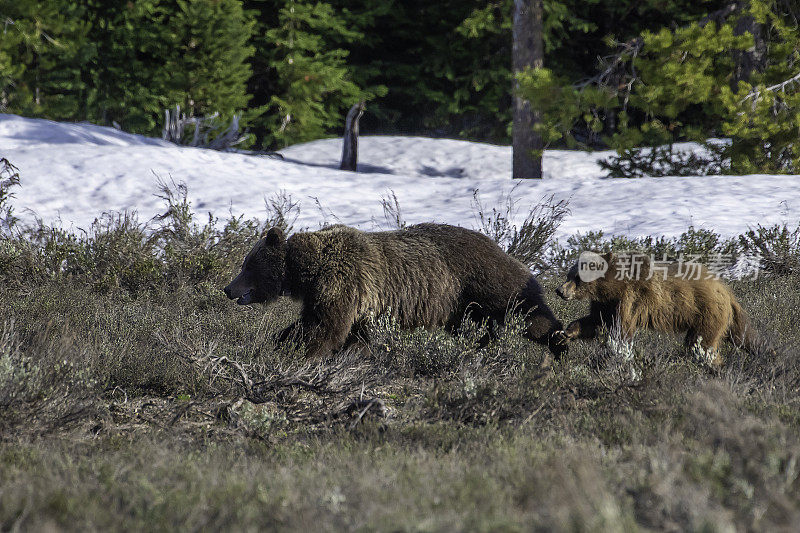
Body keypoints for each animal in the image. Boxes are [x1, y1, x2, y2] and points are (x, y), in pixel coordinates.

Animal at [222, 222, 564, 360]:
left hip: (484, 281)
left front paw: (300, 352)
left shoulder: (342, 281)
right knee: (479, 330)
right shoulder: (353, 301)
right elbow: (335, 328)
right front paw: (280, 341)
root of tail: (502, 248)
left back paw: (561, 344)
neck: (308, 270)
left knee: (528, 312)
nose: (227, 288)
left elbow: (325, 326)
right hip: (463, 306)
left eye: (248, 265)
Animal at [552, 250, 760, 366]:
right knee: (741, 335)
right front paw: (564, 333)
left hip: (705, 312)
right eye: (569, 274)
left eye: (576, 277)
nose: (559, 290)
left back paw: (714, 366)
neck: (611, 288)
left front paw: (615, 354)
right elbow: (595, 321)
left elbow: (621, 331)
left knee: (701, 344)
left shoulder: (629, 300)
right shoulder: (605, 304)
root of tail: (725, 290)